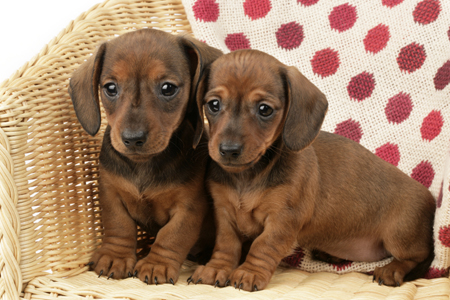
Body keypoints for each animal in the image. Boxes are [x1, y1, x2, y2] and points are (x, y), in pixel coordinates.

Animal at [68, 29, 221, 284]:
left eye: (168, 88)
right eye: (110, 88)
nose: (133, 139)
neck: (144, 165)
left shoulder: (189, 206)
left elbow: (172, 236)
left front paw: (157, 264)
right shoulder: (111, 194)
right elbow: (119, 226)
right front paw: (116, 256)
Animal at [191, 50, 436, 292]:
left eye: (264, 109)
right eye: (214, 104)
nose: (228, 150)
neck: (247, 176)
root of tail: (430, 197)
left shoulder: (284, 218)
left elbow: (263, 246)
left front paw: (250, 272)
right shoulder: (224, 212)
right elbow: (226, 244)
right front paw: (216, 268)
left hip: (399, 235)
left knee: (420, 256)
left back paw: (392, 270)